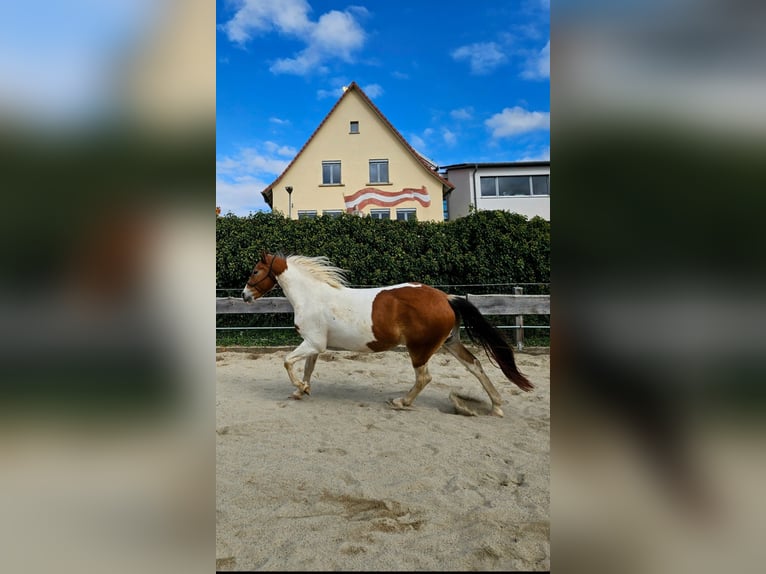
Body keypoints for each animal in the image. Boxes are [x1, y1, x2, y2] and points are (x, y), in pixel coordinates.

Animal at [241, 252, 533, 417]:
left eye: (255, 271)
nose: (245, 296)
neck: (312, 296)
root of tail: (445, 298)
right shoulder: (314, 344)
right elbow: (307, 368)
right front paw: (301, 392)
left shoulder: (313, 343)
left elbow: (288, 362)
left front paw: (300, 389)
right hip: (450, 342)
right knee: (476, 365)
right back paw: (496, 406)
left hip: (420, 349)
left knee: (424, 377)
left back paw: (400, 402)